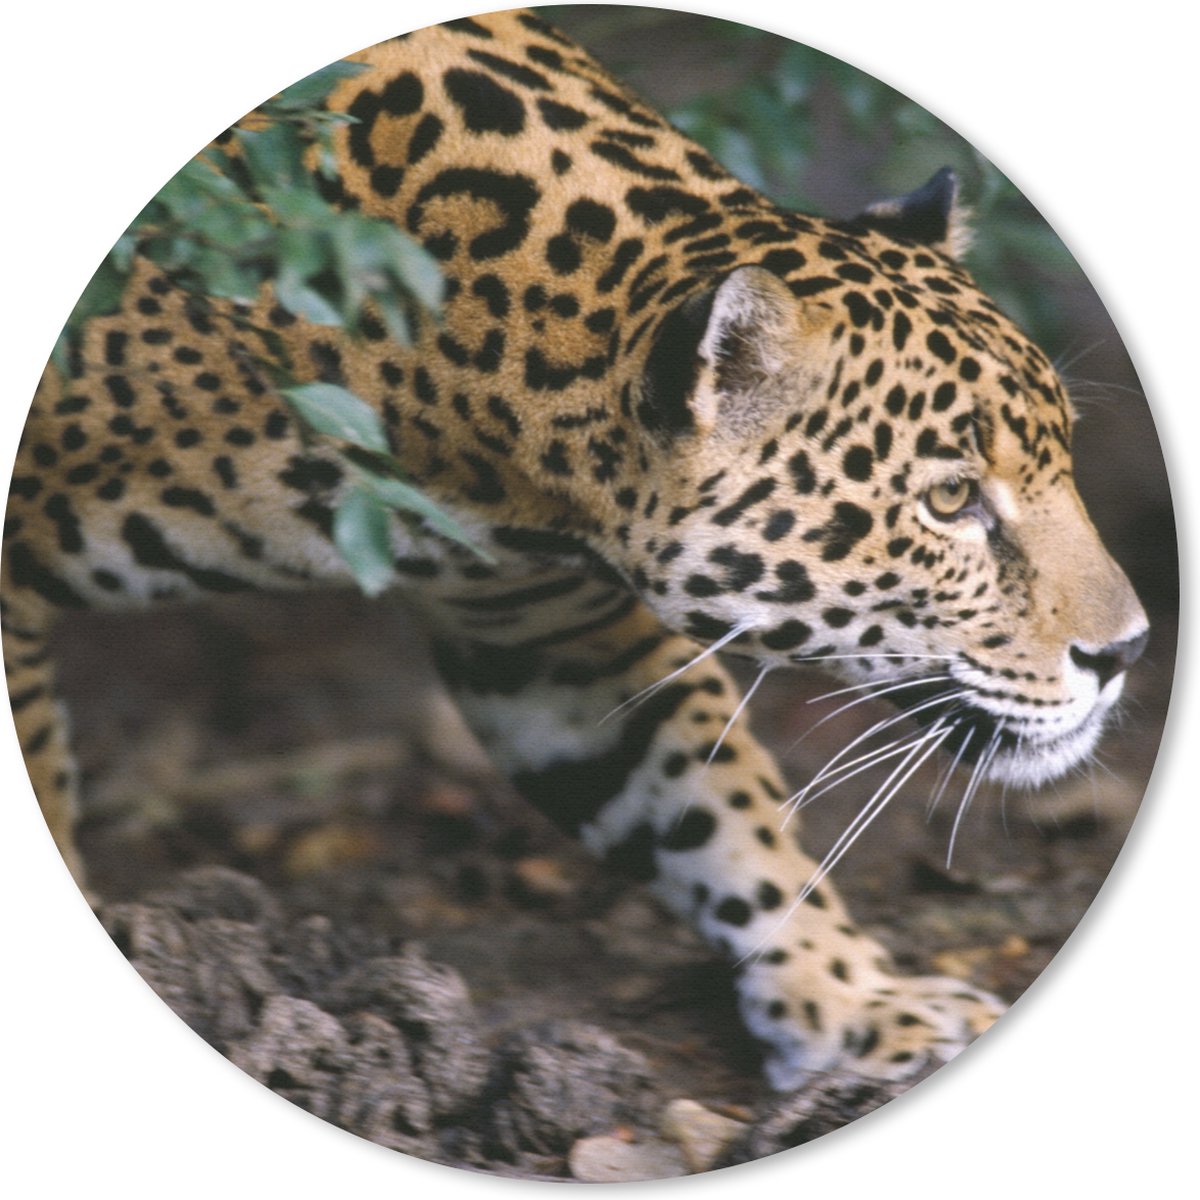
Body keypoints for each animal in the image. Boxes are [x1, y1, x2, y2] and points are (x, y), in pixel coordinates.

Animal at [2, 7, 1149, 1091]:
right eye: (950, 499)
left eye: (1062, 456)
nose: (1128, 651)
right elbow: (44, 782)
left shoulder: (548, 634)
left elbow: (710, 801)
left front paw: (856, 997)